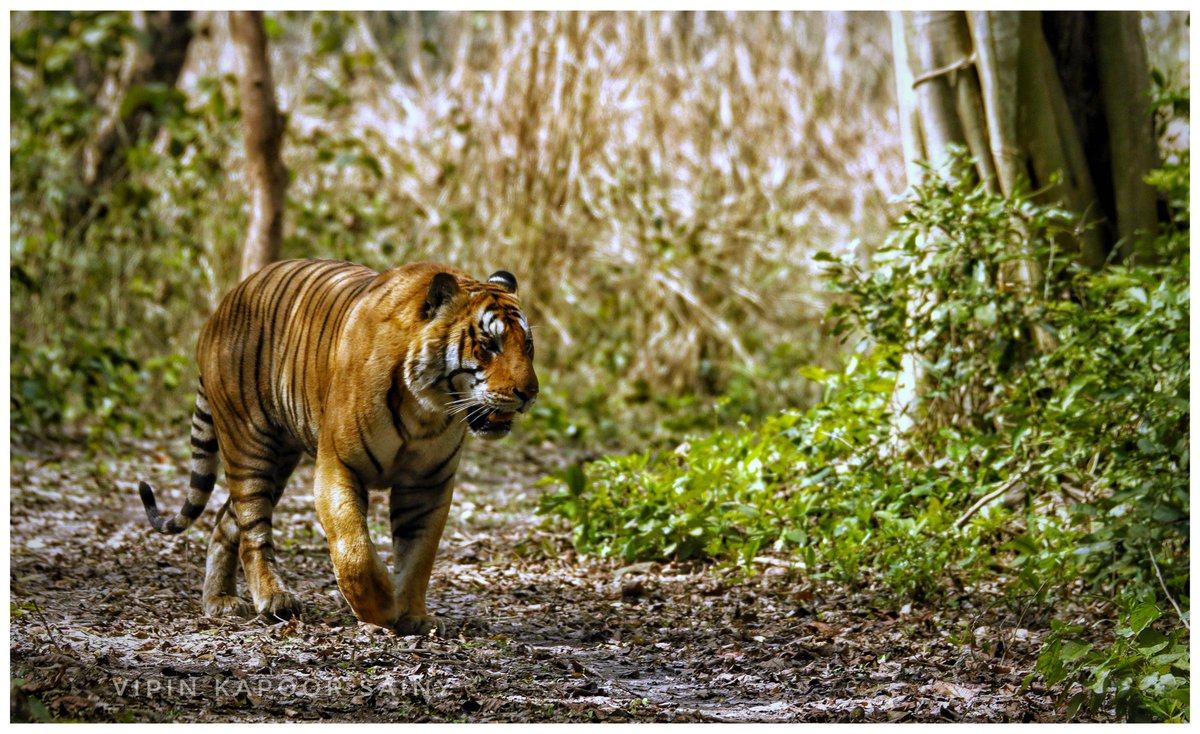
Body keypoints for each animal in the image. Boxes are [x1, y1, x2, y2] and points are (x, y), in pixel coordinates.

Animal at [137, 259, 538, 635]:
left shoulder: (429, 483)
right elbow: (353, 548)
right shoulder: (338, 465)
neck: (426, 410)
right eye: (489, 345)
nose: (529, 393)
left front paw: (414, 616)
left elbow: (418, 555)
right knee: (253, 532)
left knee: (225, 520)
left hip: (277, 460)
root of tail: (221, 307)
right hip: (250, 447)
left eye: (528, 345)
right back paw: (273, 598)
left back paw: (220, 601)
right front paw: (382, 606)